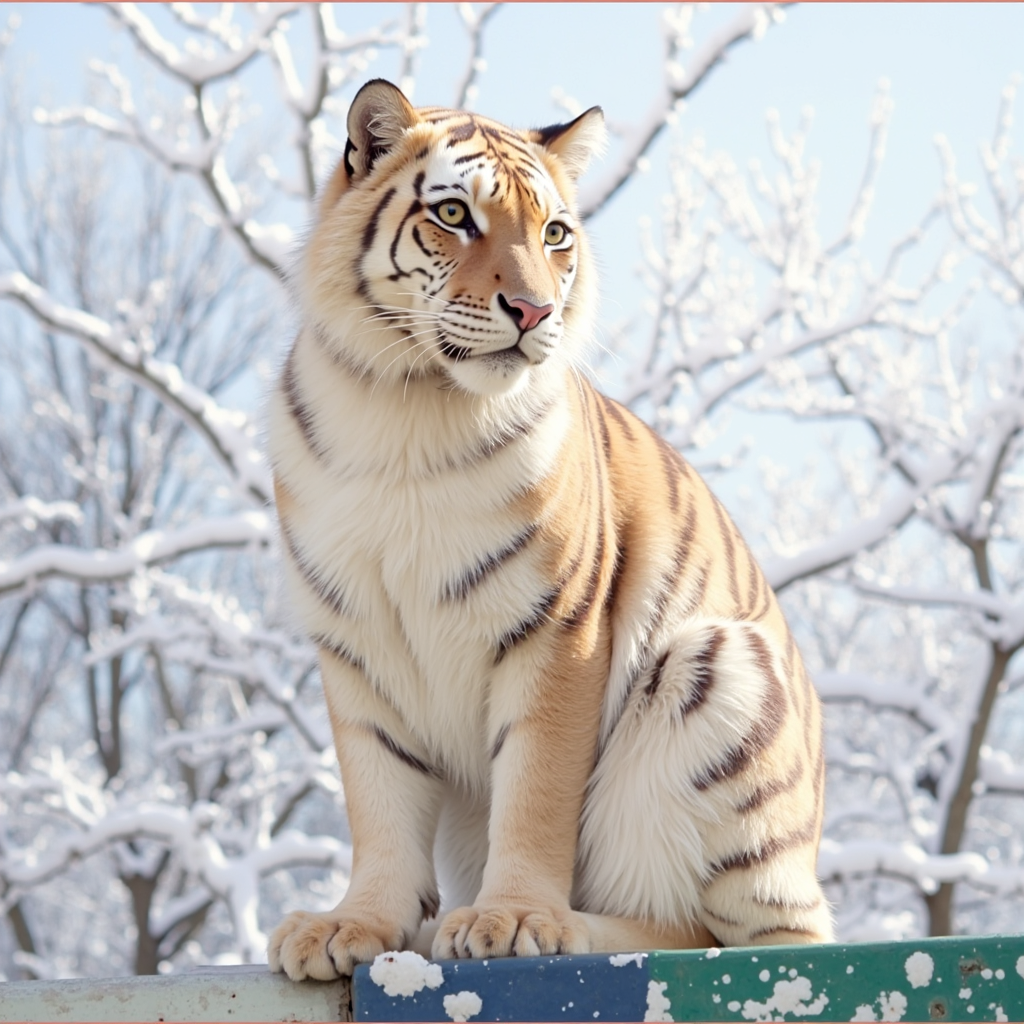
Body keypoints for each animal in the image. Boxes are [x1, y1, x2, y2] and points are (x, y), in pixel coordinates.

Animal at [266, 78, 833, 982]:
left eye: (555, 233)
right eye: (454, 214)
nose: (532, 310)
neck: (409, 406)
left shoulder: (557, 626)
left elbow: (534, 788)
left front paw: (514, 919)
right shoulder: (354, 639)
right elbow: (378, 797)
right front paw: (354, 924)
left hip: (717, 668)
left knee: (725, 935)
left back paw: (561, 925)